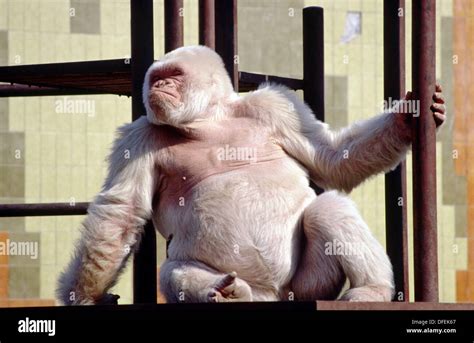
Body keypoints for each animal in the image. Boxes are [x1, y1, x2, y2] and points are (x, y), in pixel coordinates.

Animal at [57, 44, 446, 306]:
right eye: (157, 77)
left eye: (174, 76)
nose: (157, 88)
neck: (208, 121)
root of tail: (270, 297)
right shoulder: (138, 137)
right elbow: (122, 214)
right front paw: (84, 295)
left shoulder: (273, 107)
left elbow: (332, 157)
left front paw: (404, 121)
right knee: (173, 270)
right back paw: (227, 292)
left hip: (307, 287)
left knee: (328, 209)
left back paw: (372, 290)